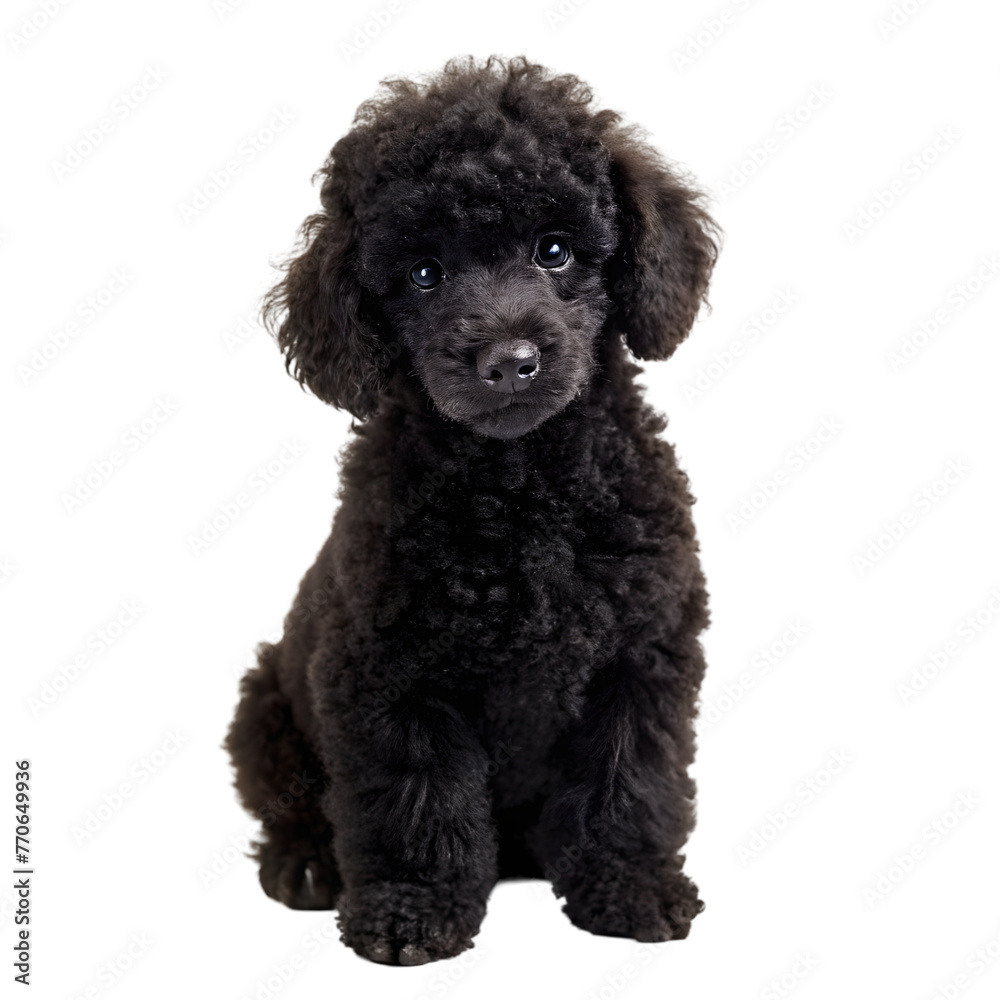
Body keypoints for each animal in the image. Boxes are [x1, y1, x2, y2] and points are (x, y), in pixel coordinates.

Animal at [225, 56, 720, 968]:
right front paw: (414, 910)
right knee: (293, 803)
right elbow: (417, 800)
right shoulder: (392, 673)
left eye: (555, 252)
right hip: (265, 707)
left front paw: (630, 889)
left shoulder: (642, 659)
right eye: (425, 272)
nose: (509, 360)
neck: (521, 488)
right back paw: (306, 864)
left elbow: (630, 782)